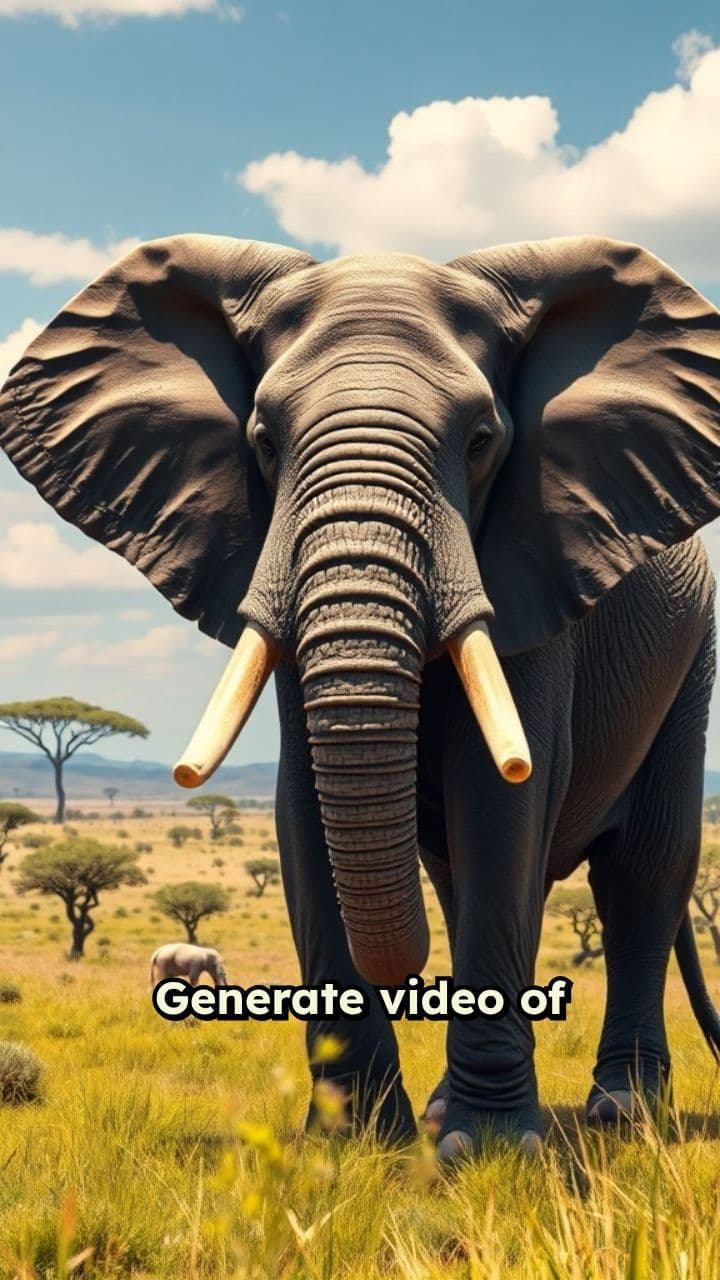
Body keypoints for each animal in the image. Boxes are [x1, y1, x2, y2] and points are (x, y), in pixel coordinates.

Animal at [2, 231, 720, 1158]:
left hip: (692, 657)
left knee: (641, 872)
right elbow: (303, 812)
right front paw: (354, 1147)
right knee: (463, 880)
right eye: (264, 440)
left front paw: (487, 1153)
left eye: (482, 440)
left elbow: (502, 805)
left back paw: (621, 1111)